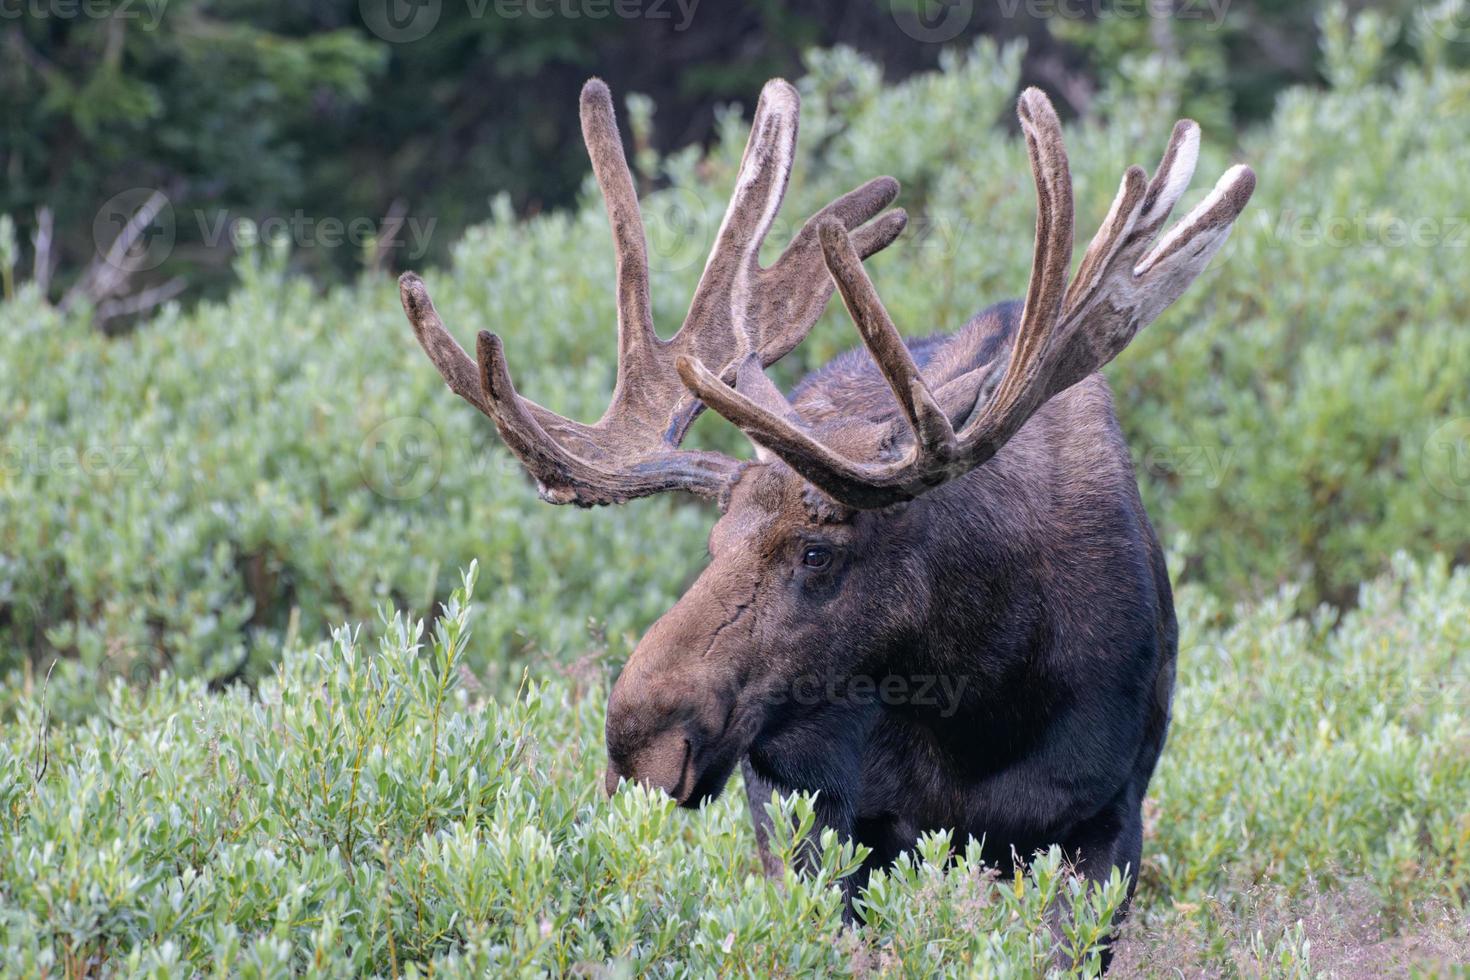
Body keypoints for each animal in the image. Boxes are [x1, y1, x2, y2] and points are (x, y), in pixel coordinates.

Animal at [396, 76, 1258, 952]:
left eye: (816, 552)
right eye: (712, 543)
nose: (638, 743)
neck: (979, 696)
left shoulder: (1111, 815)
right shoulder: (820, 809)